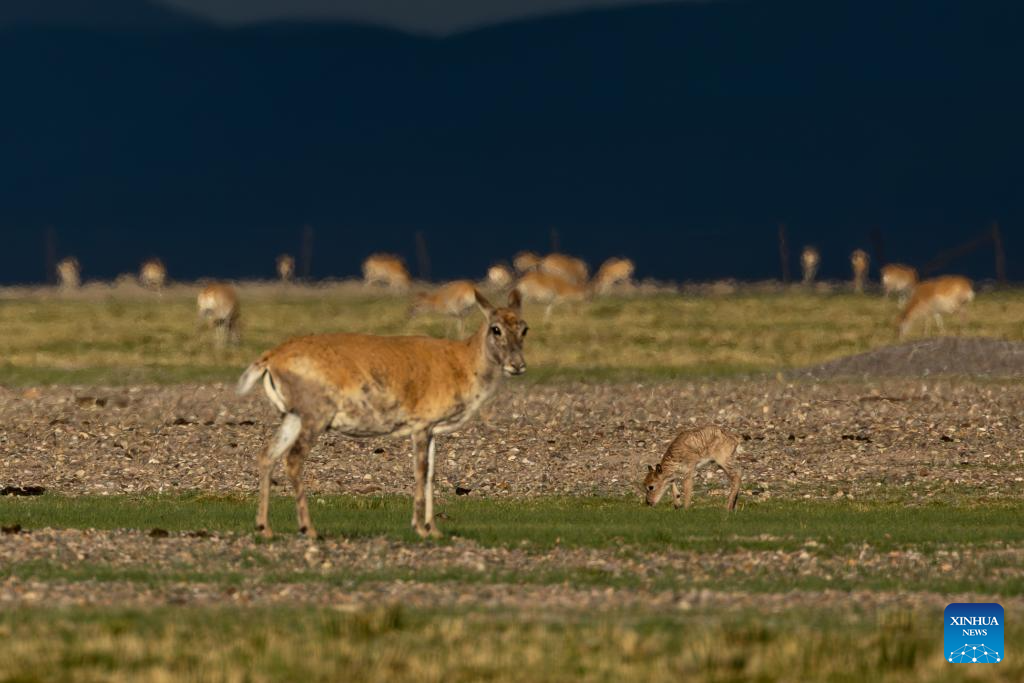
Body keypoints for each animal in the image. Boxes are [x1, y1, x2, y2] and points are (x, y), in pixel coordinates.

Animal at [236, 288, 532, 540]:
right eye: (496, 328)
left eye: (524, 328)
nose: (518, 365)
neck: (463, 363)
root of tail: (270, 357)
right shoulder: (421, 425)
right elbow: (420, 471)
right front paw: (419, 528)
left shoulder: (433, 430)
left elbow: (432, 474)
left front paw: (434, 529)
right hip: (315, 416)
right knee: (293, 459)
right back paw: (308, 528)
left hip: (292, 417)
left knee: (267, 455)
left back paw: (264, 528)